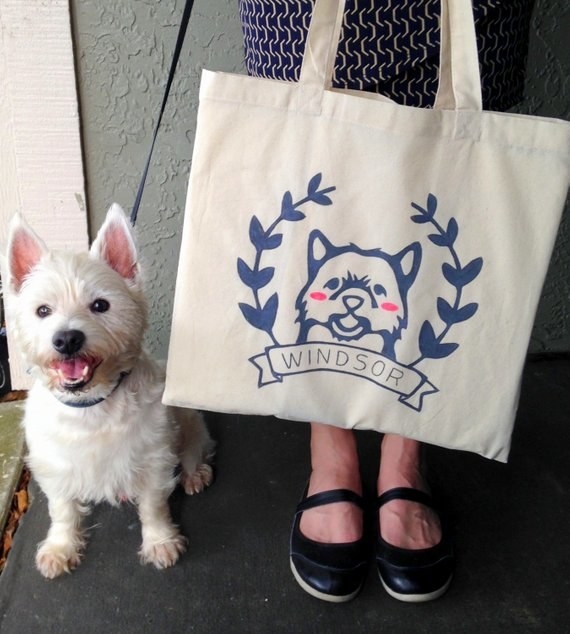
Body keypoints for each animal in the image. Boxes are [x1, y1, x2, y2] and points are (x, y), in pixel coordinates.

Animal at [5, 204, 213, 576]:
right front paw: (60, 548)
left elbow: (153, 506)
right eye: (43, 310)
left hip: (188, 420)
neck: (91, 404)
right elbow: (62, 510)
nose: (67, 339)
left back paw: (194, 474)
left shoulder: (153, 458)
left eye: (101, 305)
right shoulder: (55, 465)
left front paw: (160, 542)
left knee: (194, 447)